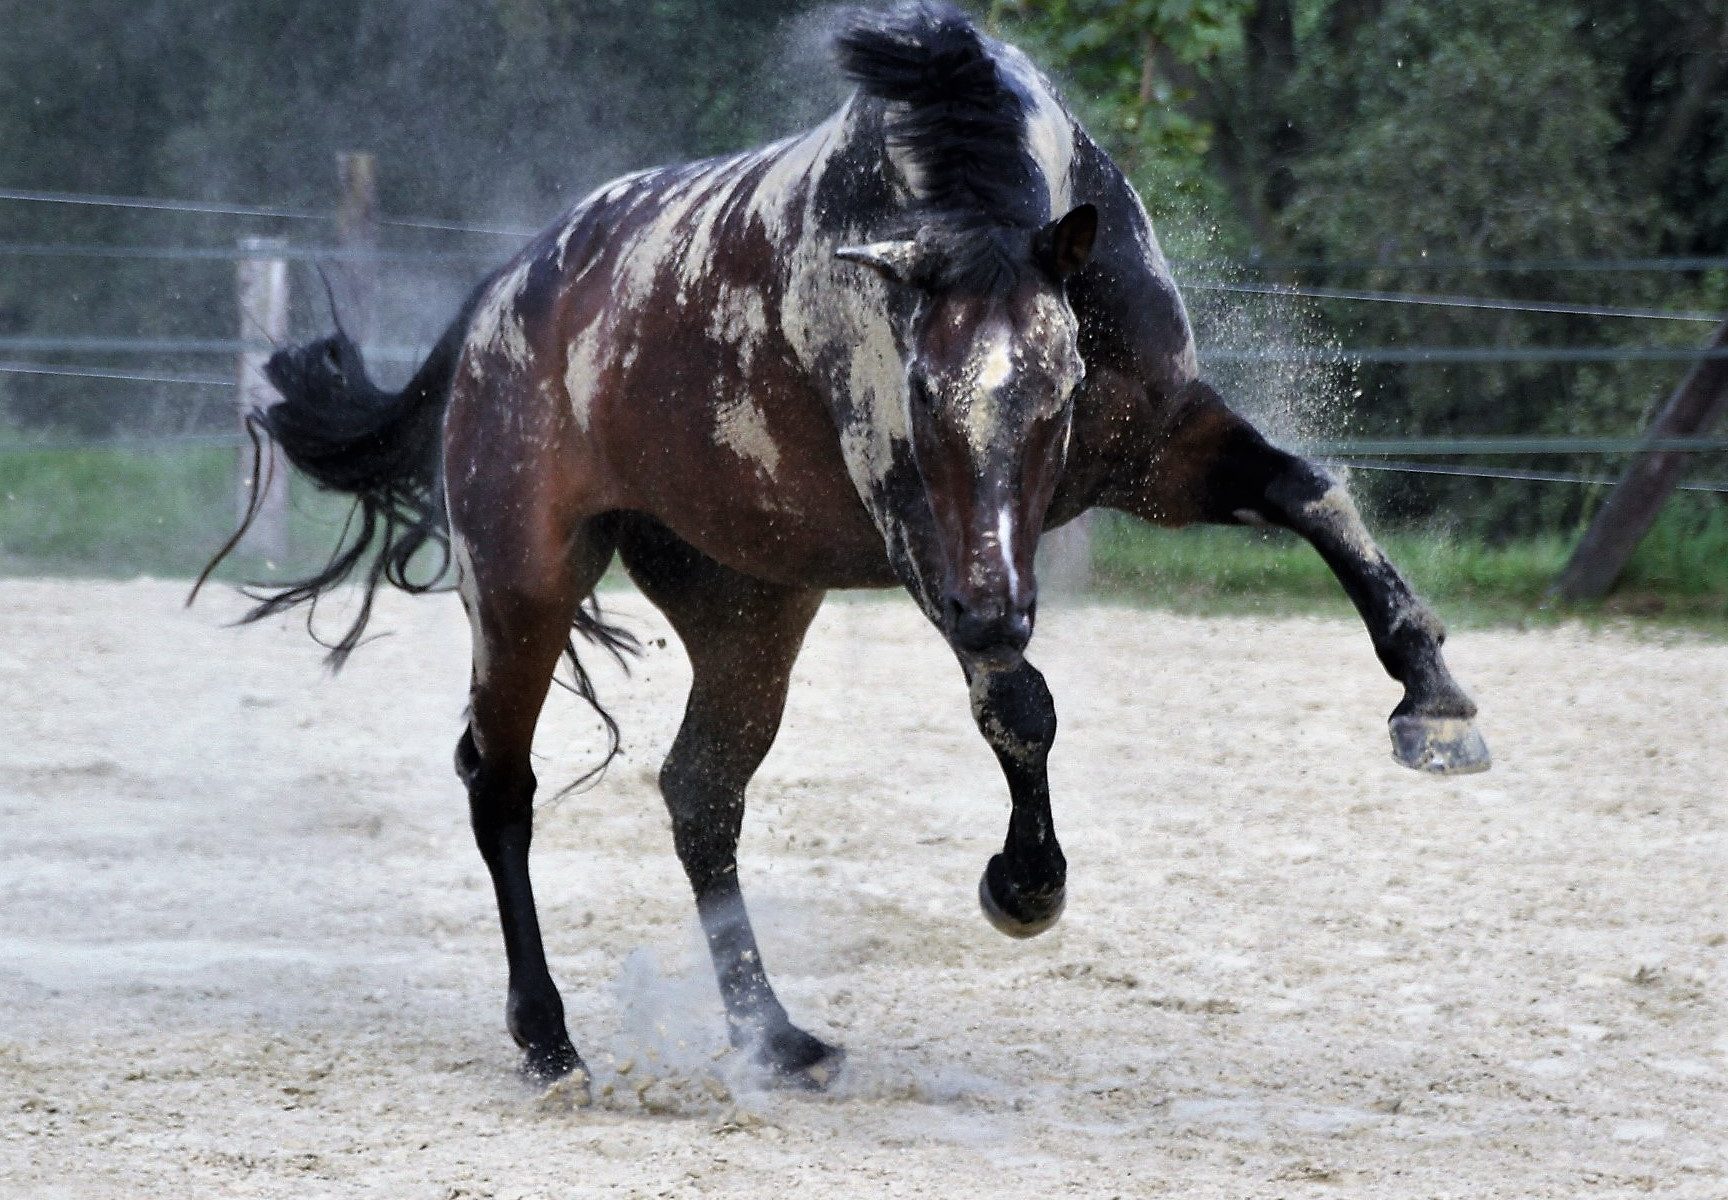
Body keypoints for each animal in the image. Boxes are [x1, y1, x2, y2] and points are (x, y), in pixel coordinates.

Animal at [202, 0, 1492, 1092]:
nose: (994, 607)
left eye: (1059, 393)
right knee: (501, 784)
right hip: (525, 583)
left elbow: (1314, 497)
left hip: (751, 607)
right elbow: (1017, 703)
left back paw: (772, 1036)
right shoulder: (920, 531)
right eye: (919, 396)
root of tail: (499, 303)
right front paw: (1024, 885)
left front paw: (1434, 704)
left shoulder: (1158, 451)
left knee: (700, 794)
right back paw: (550, 1039)